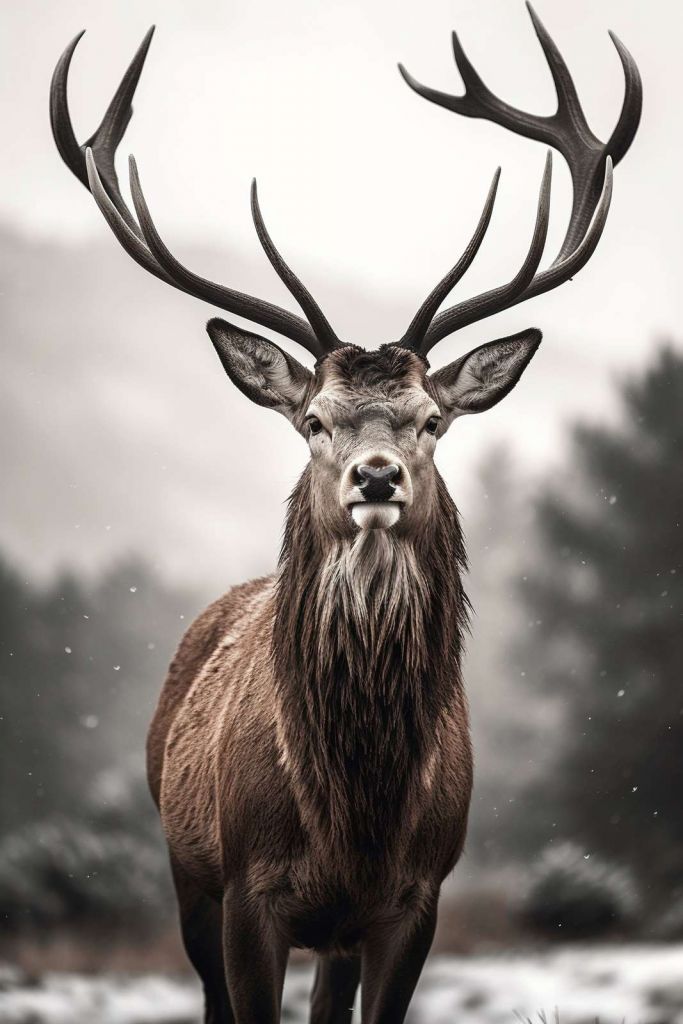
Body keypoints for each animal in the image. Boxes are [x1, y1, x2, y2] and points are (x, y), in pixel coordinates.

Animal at [52, 8, 643, 1024]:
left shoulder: (414, 899)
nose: (375, 476)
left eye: (431, 420)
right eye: (314, 420)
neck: (353, 818)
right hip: (184, 870)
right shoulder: (246, 891)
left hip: (323, 935)